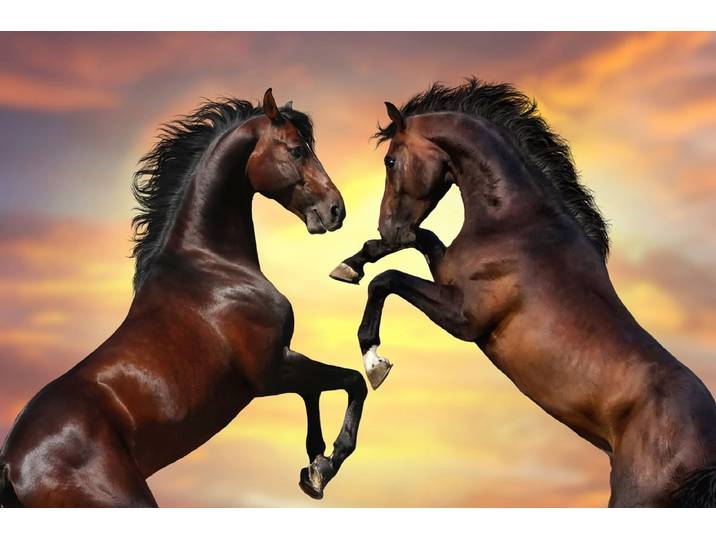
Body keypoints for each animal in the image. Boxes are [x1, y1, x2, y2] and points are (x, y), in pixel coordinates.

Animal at [0, 89, 366, 507]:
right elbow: (352, 381)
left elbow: (316, 394)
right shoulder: (272, 370)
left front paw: (314, 470)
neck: (211, 266)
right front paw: (327, 464)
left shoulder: (283, 364)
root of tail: (11, 465)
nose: (335, 210)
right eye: (296, 150)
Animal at [329, 79, 716, 507]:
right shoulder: (445, 272)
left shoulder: (464, 316)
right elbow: (419, 240)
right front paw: (352, 263)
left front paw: (374, 362)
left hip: (637, 498)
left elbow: (387, 280)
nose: (387, 227)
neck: (516, 222)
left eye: (390, 162)